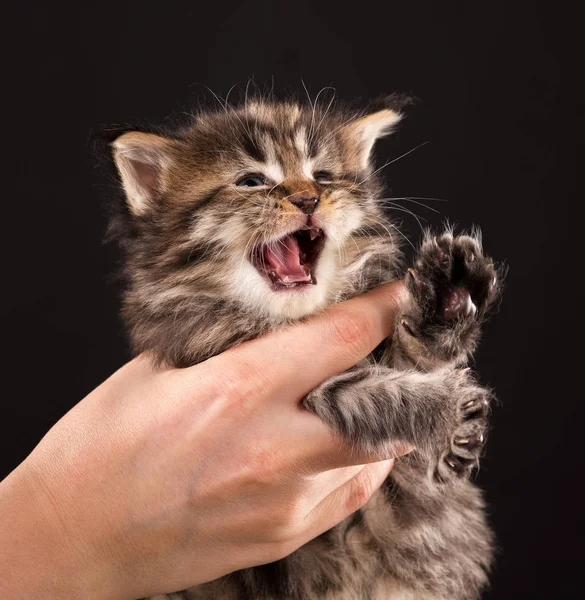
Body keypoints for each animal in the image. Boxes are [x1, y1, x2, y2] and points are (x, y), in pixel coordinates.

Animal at [104, 91, 502, 596]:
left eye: (323, 176)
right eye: (252, 181)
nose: (308, 198)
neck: (289, 320)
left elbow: (409, 368)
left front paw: (446, 301)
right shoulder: (242, 364)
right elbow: (373, 393)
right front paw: (444, 410)